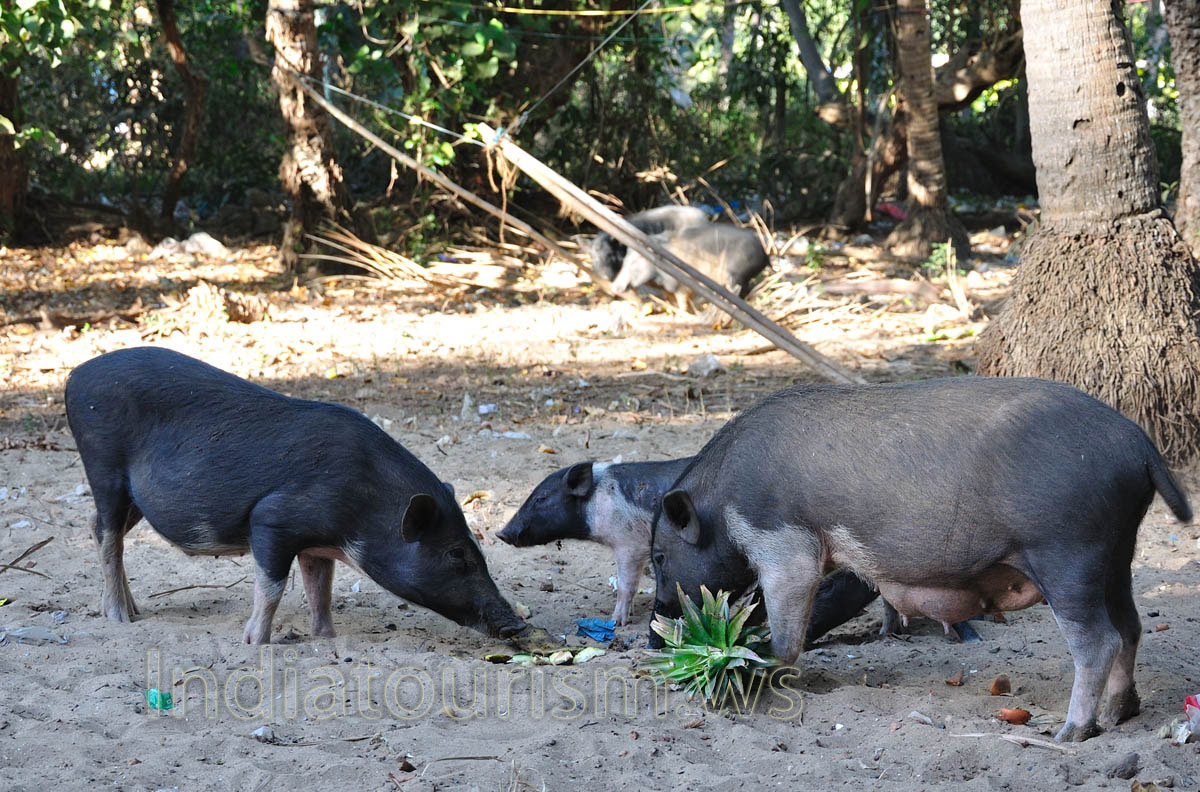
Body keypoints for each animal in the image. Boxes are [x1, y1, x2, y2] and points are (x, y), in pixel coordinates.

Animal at [64, 347, 526, 644]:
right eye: (456, 554)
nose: (517, 625)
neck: (363, 506)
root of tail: (73, 374)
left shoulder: (317, 544)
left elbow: (320, 590)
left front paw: (325, 638)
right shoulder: (272, 520)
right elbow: (272, 587)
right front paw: (255, 641)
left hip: (134, 498)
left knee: (97, 526)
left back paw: (133, 610)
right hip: (103, 467)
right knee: (108, 537)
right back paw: (120, 619)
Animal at [497, 456, 928, 642]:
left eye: (541, 499)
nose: (501, 533)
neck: (598, 505)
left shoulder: (628, 543)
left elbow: (626, 583)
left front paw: (617, 622)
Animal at [612, 224, 769, 313]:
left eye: (634, 261)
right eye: (624, 259)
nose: (614, 286)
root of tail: (764, 253)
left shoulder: (681, 286)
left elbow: (682, 304)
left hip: (733, 276)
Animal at [648, 377, 1191, 742]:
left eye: (658, 556)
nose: (653, 637)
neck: (723, 505)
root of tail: (1138, 443)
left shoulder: (784, 544)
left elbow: (786, 629)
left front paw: (757, 662)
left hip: (1068, 554)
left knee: (1098, 640)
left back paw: (1069, 733)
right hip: (1118, 554)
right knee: (1131, 626)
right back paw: (1118, 715)